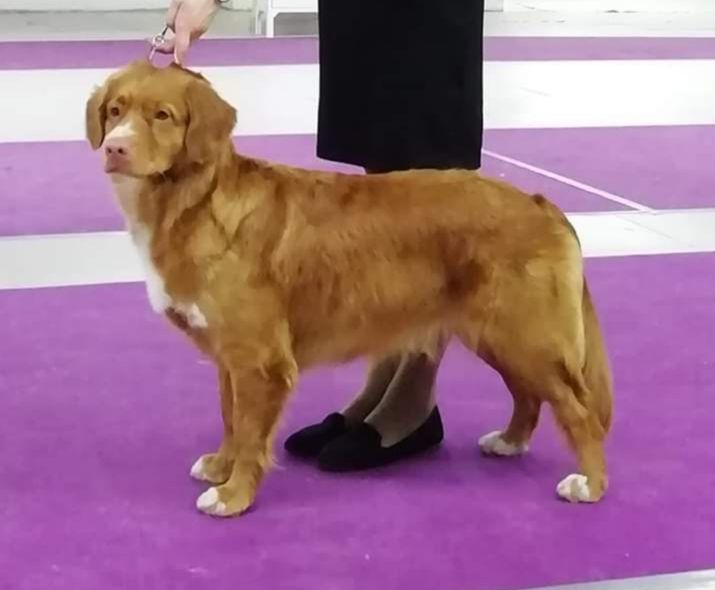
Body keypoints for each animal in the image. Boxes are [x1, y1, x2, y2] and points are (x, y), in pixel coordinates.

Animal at [86, 62, 612, 520]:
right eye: (115, 110)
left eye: (162, 115)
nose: (115, 149)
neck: (193, 203)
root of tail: (542, 203)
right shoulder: (229, 355)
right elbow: (232, 419)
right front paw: (220, 466)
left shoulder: (260, 359)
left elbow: (252, 433)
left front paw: (233, 496)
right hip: (496, 335)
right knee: (530, 395)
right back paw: (509, 441)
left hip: (524, 334)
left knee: (579, 410)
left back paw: (590, 484)